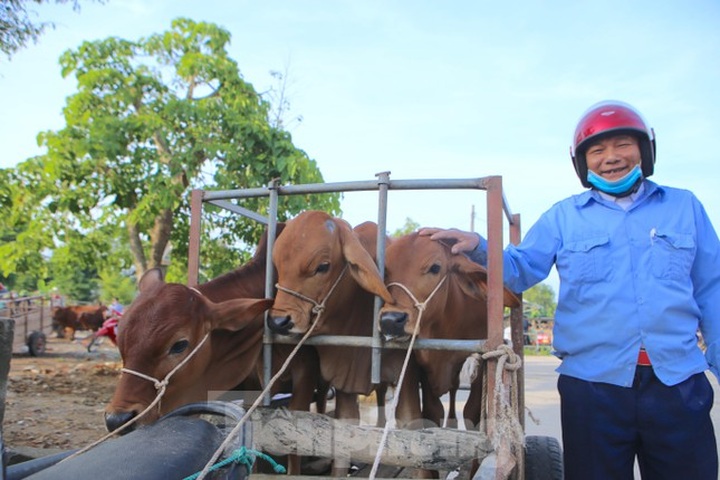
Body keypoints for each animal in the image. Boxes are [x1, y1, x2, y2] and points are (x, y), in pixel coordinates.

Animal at [378, 232, 521, 435]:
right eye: (385, 271)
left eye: (435, 267)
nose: (391, 320)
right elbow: (432, 411)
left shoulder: (481, 354)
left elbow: (471, 412)